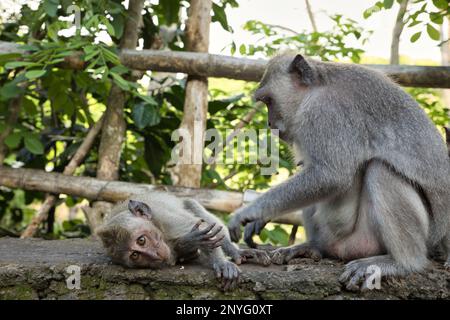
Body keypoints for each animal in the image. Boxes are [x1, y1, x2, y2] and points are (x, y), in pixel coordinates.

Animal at [97, 192, 270, 290]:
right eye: (135, 255)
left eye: (141, 240)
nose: (154, 255)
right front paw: (187, 244)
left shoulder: (168, 220)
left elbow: (205, 229)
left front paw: (221, 263)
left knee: (191, 205)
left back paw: (236, 252)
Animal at [229, 53, 450, 290]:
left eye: (269, 100)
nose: (270, 123)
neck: (316, 88)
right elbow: (312, 170)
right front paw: (260, 219)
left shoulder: (325, 112)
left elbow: (331, 176)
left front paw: (251, 212)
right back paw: (314, 246)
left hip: (375, 238)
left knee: (380, 170)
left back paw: (403, 263)